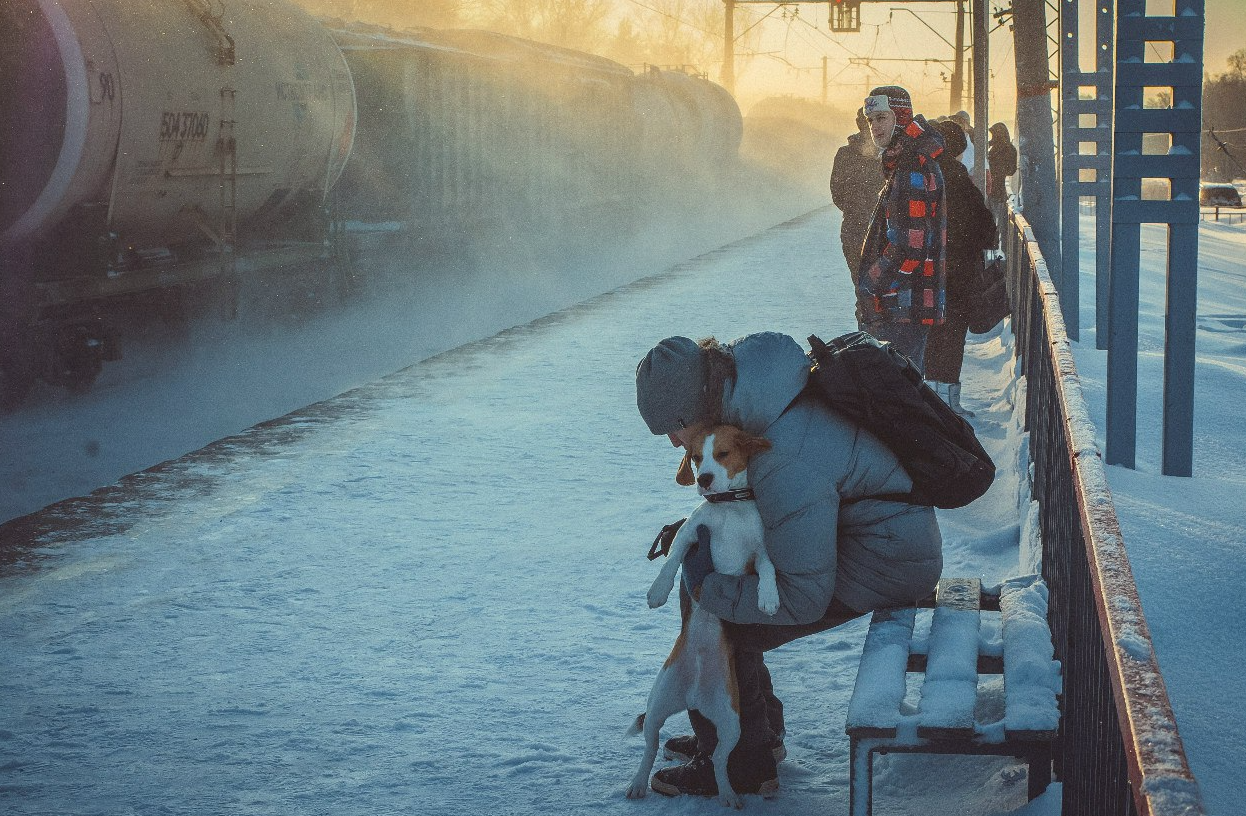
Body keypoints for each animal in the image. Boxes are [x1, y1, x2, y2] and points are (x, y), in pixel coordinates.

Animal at [623, 423, 777, 807]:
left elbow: (768, 568)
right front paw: (657, 592)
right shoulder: (692, 534)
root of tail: (692, 696)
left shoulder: (759, 552)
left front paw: (769, 598)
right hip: (657, 705)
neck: (728, 510)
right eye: (695, 457)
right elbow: (673, 558)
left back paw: (728, 794)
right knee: (649, 748)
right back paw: (638, 783)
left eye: (722, 453)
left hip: (732, 722)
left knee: (720, 761)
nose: (704, 479)